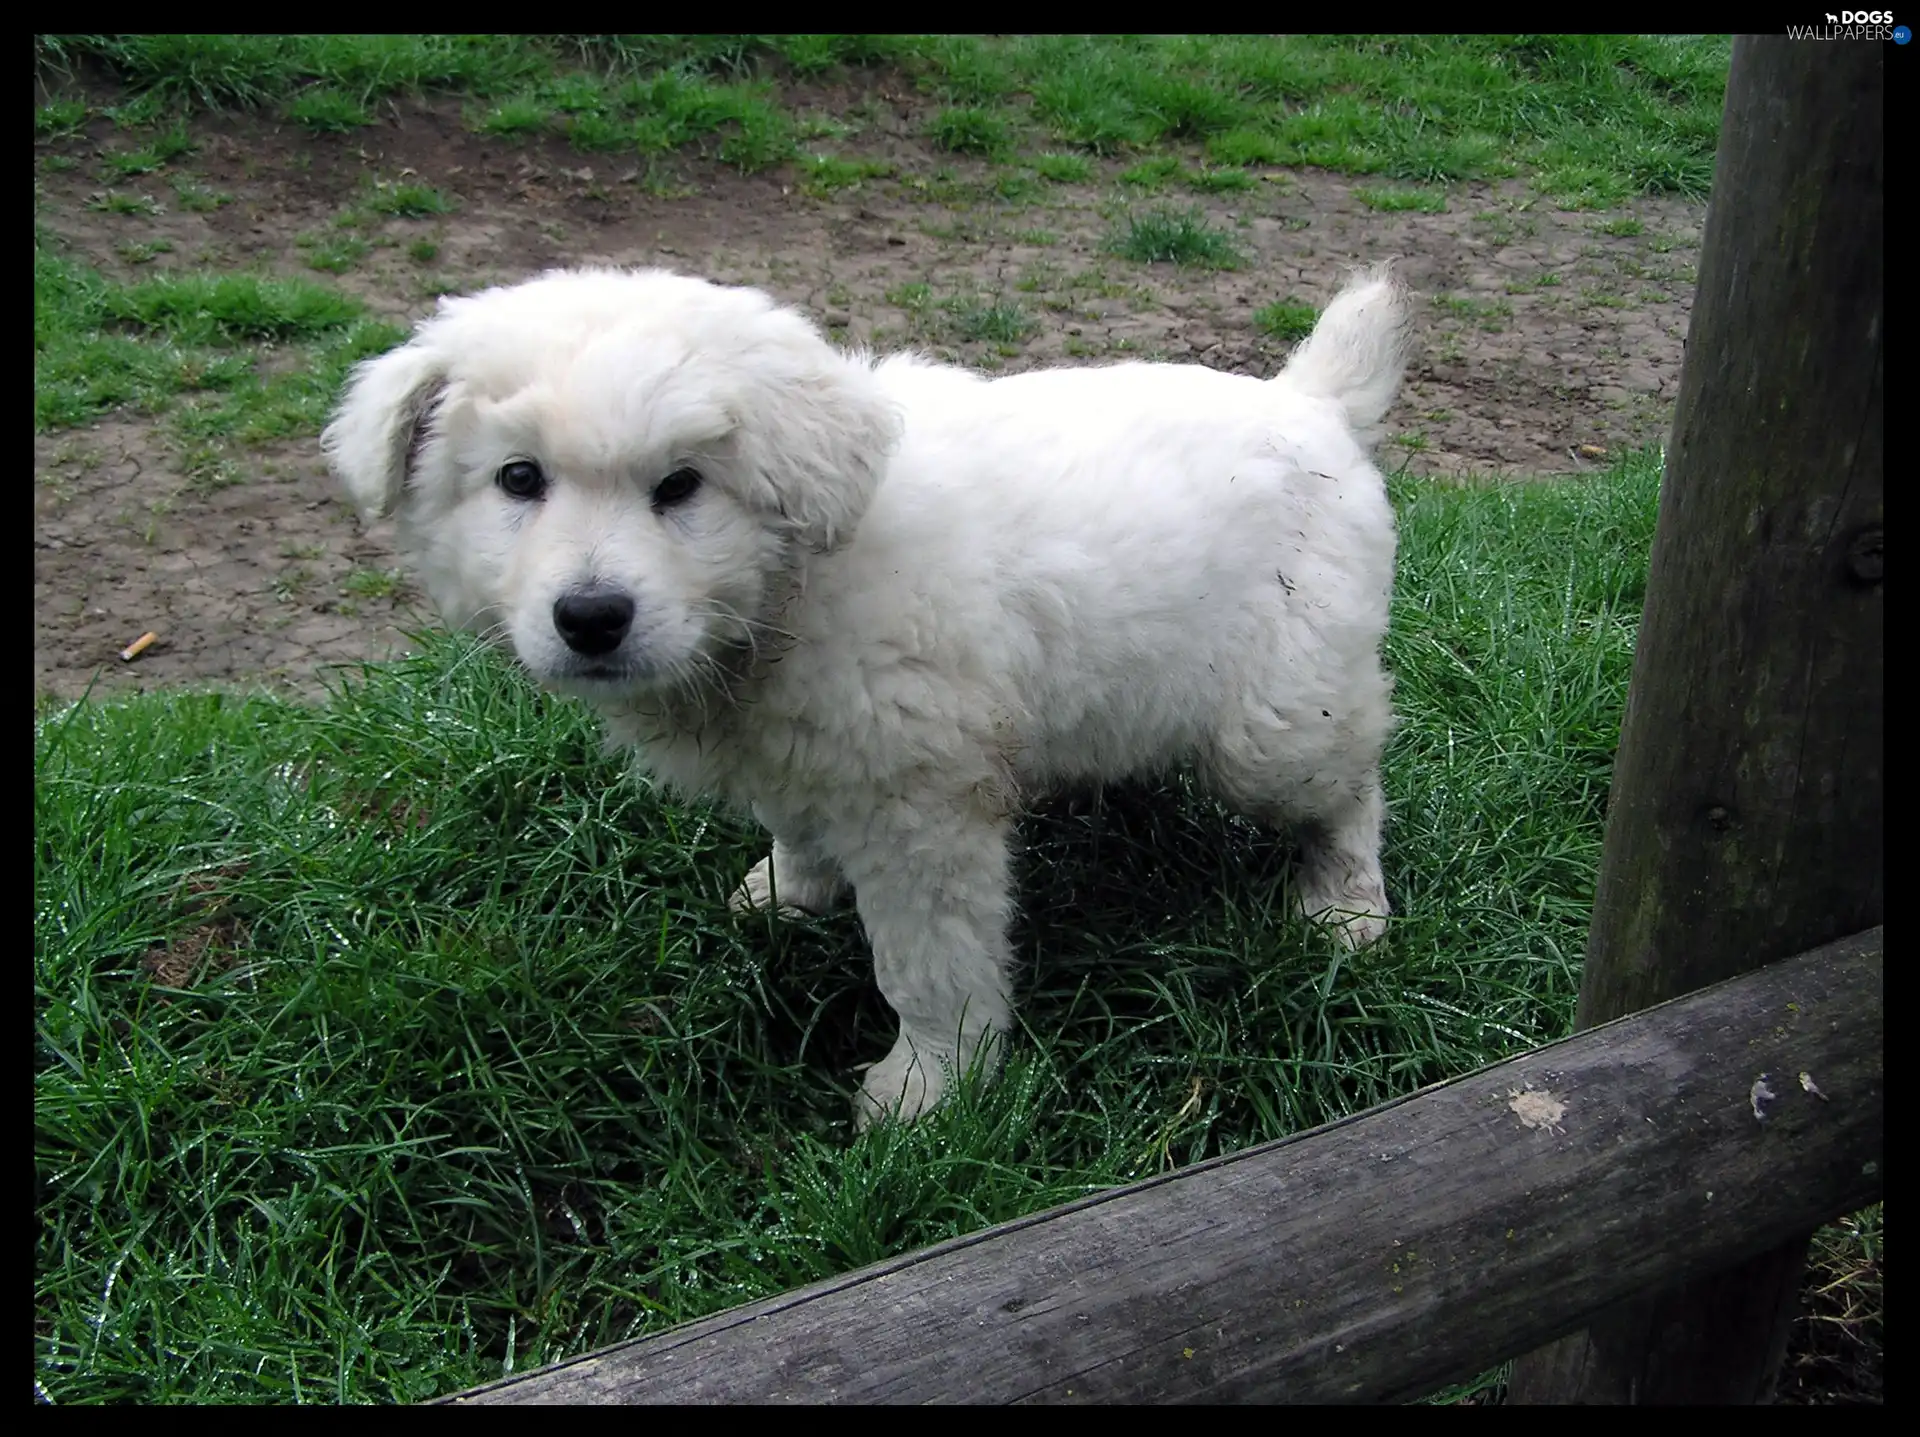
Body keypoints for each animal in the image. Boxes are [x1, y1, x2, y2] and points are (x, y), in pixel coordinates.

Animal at [322, 263, 1413, 1129]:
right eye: (518, 479)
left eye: (681, 486)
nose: (592, 617)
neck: (791, 585)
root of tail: (1310, 403)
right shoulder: (799, 753)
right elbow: (796, 825)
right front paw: (790, 890)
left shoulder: (920, 808)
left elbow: (928, 965)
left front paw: (931, 1090)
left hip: (1278, 721)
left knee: (1353, 782)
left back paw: (1344, 907)